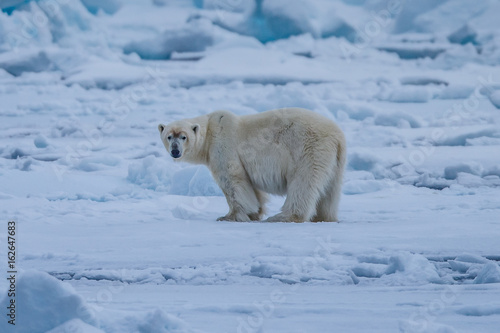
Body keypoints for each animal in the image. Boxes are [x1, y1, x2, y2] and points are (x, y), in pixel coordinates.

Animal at [158, 107, 346, 222]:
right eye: (169, 136)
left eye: (183, 137)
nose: (175, 151)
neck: (211, 131)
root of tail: (337, 136)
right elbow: (253, 189)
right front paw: (255, 212)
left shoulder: (224, 147)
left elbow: (233, 181)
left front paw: (229, 216)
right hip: (334, 161)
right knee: (330, 190)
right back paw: (324, 217)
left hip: (306, 149)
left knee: (303, 183)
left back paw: (284, 216)